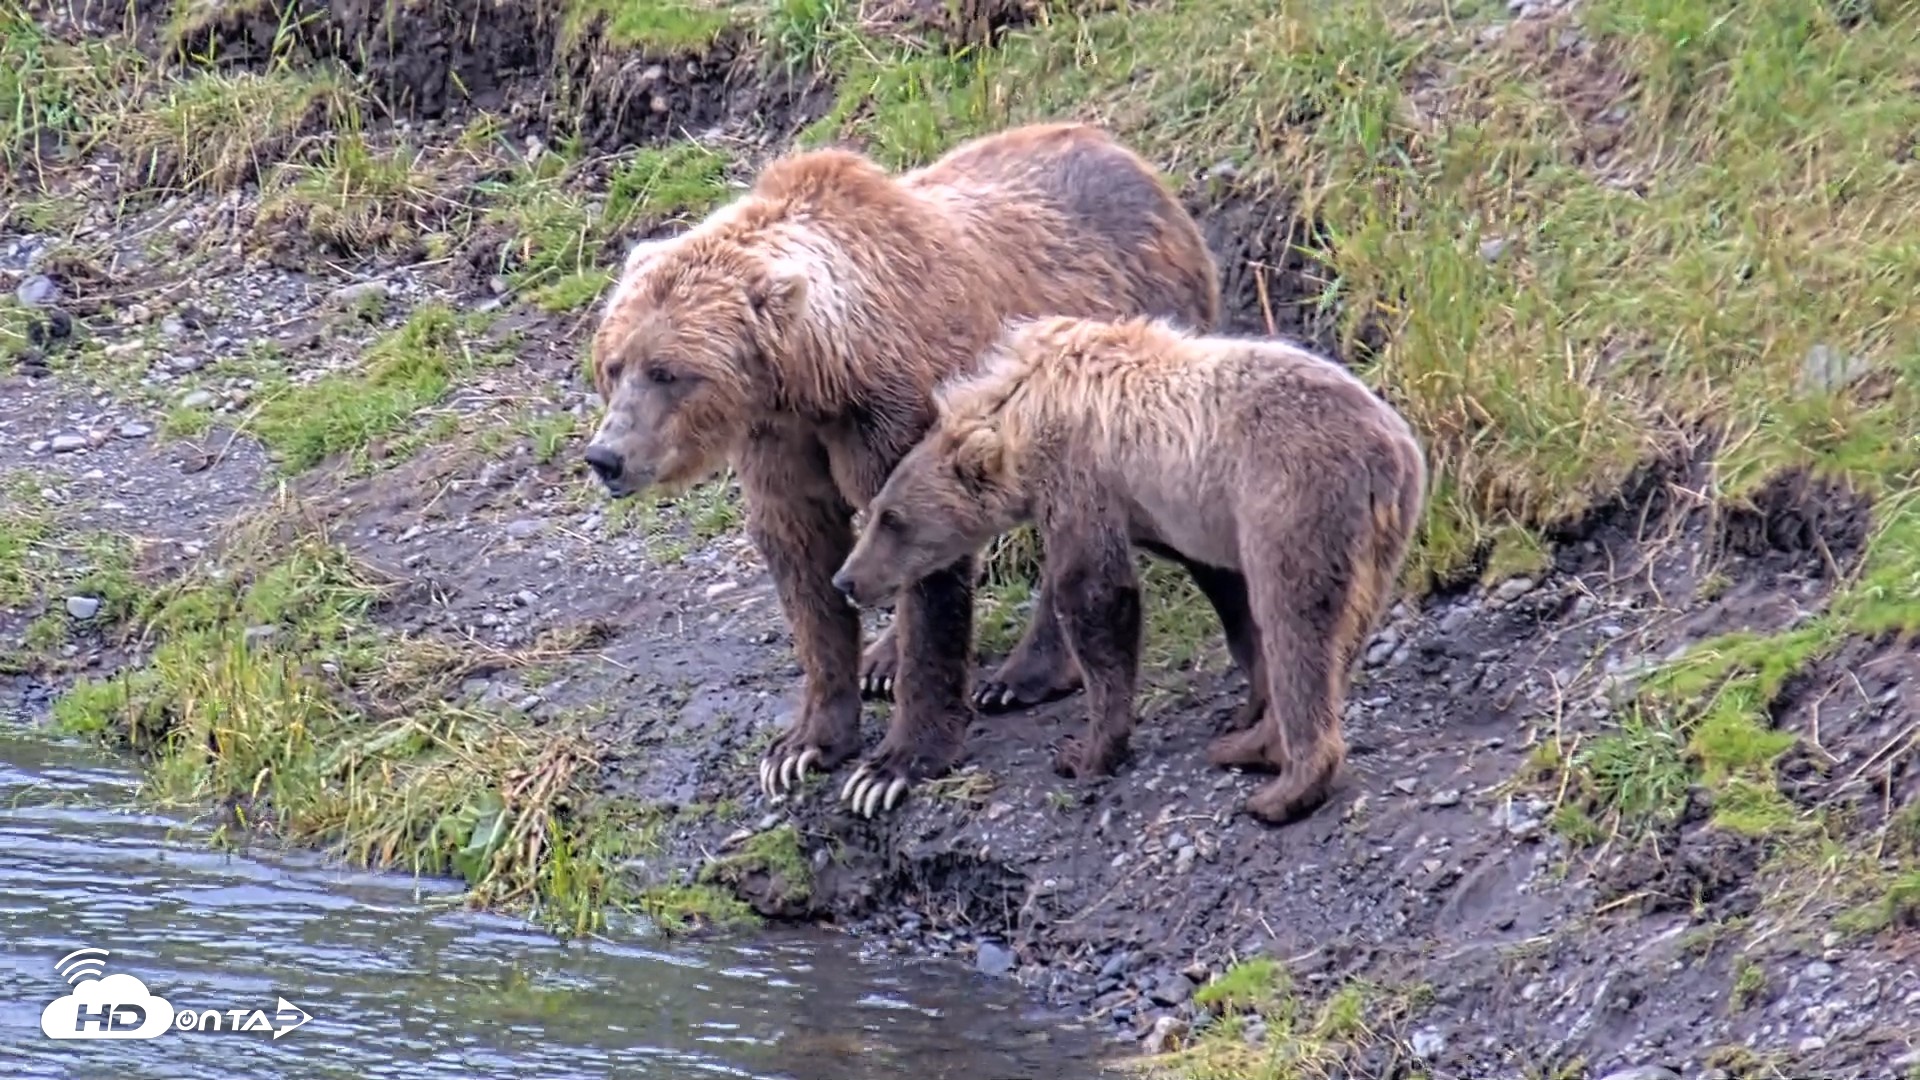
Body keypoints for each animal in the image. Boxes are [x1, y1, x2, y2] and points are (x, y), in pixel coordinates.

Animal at [581, 123, 1220, 815]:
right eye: (614, 364)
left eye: (668, 372)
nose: (606, 456)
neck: (817, 376)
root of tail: (1142, 169)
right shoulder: (779, 440)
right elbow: (804, 559)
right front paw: (803, 745)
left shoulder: (900, 413)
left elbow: (925, 549)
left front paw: (896, 764)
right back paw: (883, 660)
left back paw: (1023, 675)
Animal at [829, 314, 1429, 825]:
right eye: (877, 510)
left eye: (891, 518)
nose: (846, 579)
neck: (1020, 417)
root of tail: (1389, 448)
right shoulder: (1177, 509)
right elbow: (1224, 591)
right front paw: (1247, 704)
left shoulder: (1081, 476)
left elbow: (1096, 596)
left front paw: (1085, 751)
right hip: (1379, 537)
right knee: (1341, 631)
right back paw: (1253, 745)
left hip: (1293, 497)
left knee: (1296, 624)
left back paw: (1285, 788)